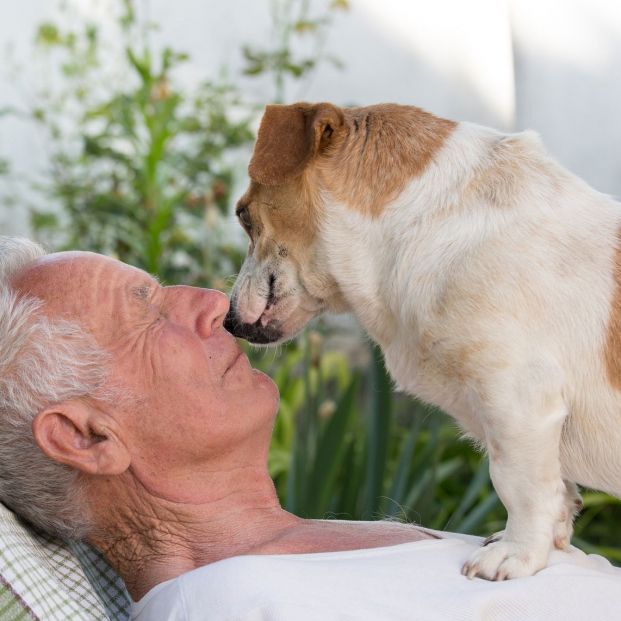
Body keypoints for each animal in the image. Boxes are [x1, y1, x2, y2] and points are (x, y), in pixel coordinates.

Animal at [225, 103, 620, 580]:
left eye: (243, 215)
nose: (227, 321)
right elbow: (559, 493)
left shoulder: (519, 401)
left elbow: (519, 485)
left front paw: (517, 553)